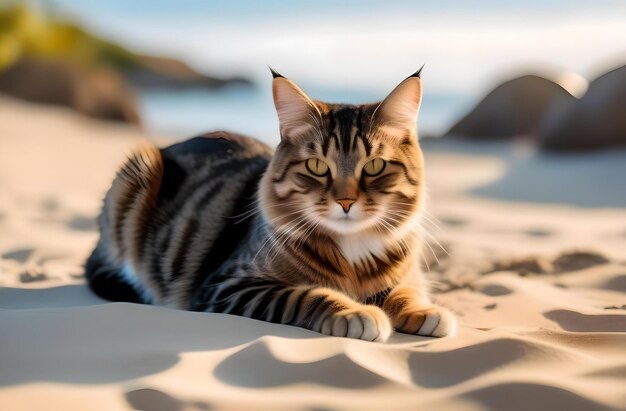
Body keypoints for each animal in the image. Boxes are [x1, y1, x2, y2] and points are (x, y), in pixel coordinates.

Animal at [85, 69, 456, 342]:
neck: (353, 249)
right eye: (317, 166)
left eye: (374, 166)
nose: (346, 201)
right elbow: (306, 295)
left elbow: (405, 290)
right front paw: (354, 312)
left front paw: (425, 311)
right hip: (139, 169)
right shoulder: (230, 285)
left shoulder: (408, 273)